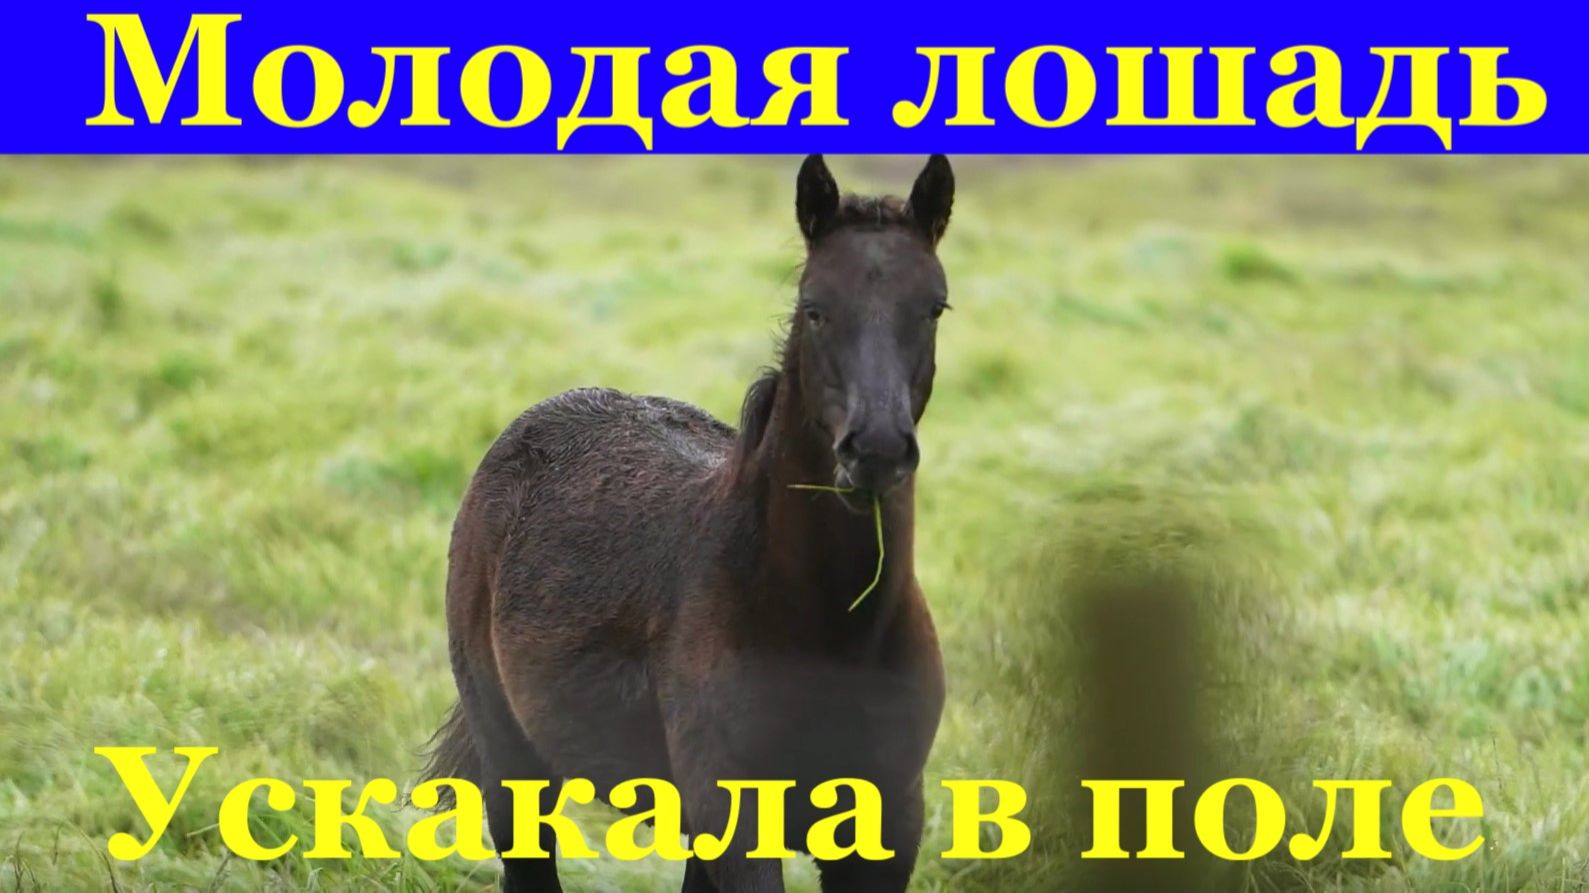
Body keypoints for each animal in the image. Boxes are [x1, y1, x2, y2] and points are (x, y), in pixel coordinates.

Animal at [422, 154, 955, 892]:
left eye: (933, 307)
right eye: (814, 309)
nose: (874, 450)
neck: (832, 633)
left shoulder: (888, 823)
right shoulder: (736, 819)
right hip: (513, 762)